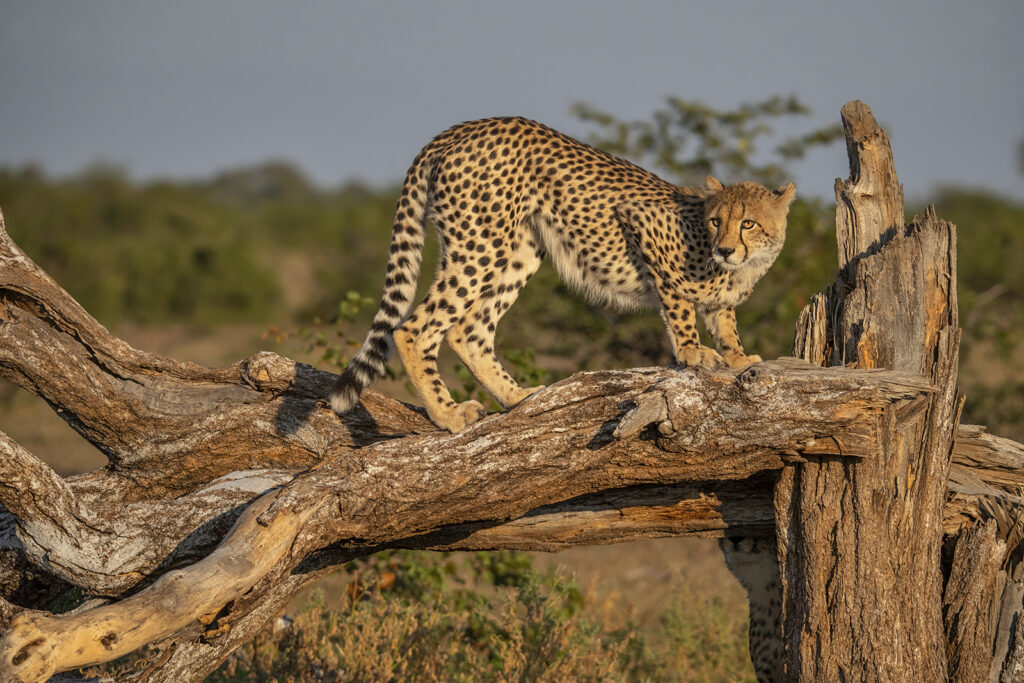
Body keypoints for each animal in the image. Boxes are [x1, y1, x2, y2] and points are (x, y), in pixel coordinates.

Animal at [331, 114, 794, 430]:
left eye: (748, 223)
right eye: (717, 221)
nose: (726, 248)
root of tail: (466, 127)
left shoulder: (722, 295)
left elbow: (725, 321)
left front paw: (738, 355)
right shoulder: (643, 223)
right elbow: (680, 306)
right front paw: (693, 351)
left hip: (518, 250)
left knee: (468, 329)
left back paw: (515, 395)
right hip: (480, 244)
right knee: (415, 328)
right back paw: (448, 414)